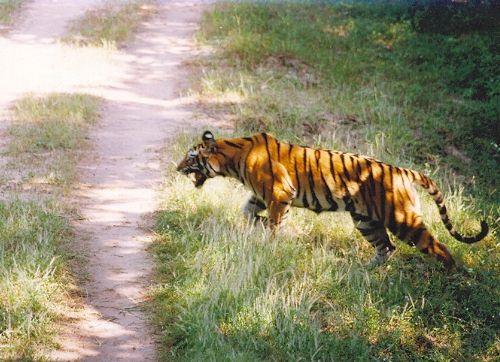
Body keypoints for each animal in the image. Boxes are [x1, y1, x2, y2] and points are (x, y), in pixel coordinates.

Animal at [177, 130, 488, 268]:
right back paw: (365, 271)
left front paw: (271, 239)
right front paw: (259, 225)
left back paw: (450, 272)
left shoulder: (280, 194)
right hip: (365, 221)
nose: (177, 168)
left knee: (439, 247)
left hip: (403, 221)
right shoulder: (261, 195)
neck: (232, 159)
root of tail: (402, 170)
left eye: (191, 158)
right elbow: (247, 211)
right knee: (386, 248)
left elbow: (275, 223)